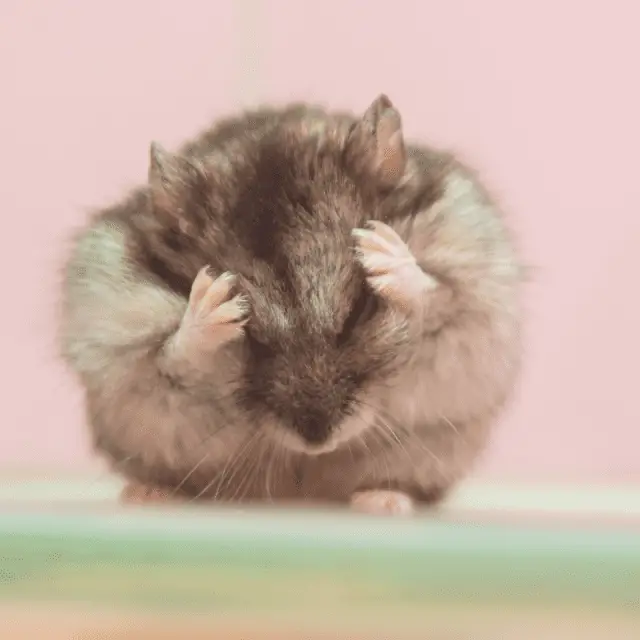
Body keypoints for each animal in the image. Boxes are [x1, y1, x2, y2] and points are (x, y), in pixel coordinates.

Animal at [59, 94, 523, 515]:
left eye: (359, 310)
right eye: (252, 339)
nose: (317, 441)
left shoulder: (470, 297)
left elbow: (436, 294)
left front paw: (382, 252)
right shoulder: (129, 346)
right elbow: (172, 353)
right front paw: (214, 302)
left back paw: (383, 500)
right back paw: (148, 495)